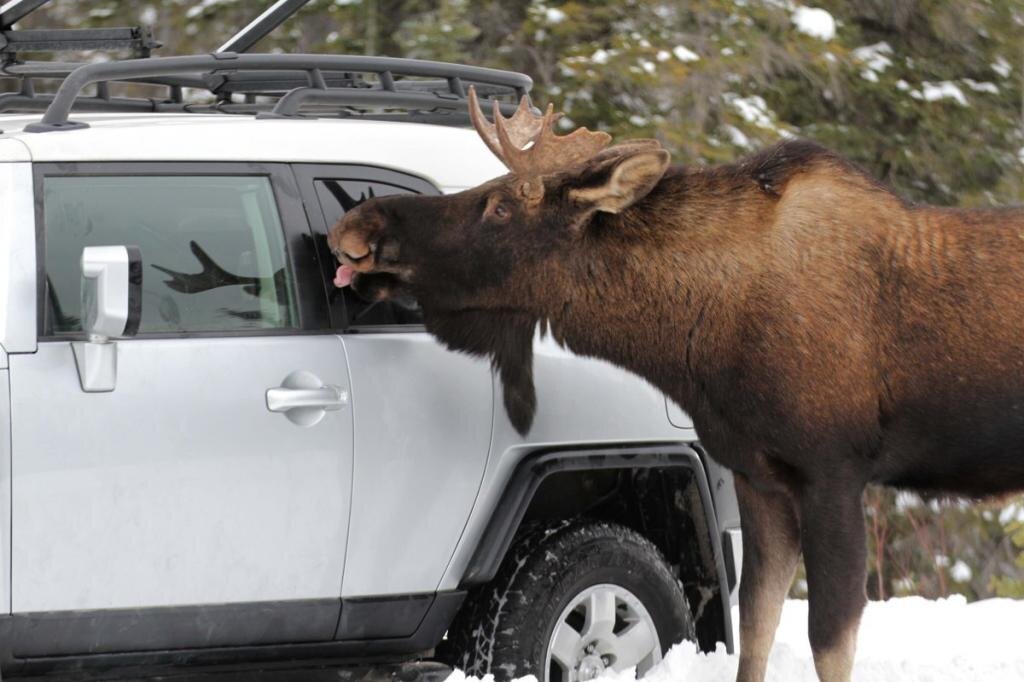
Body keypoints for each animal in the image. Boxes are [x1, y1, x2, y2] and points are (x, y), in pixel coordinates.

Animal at [325, 89, 1024, 679]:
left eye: (498, 204)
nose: (357, 224)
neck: (701, 340)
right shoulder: (759, 477)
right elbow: (756, 629)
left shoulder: (834, 473)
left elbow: (829, 643)